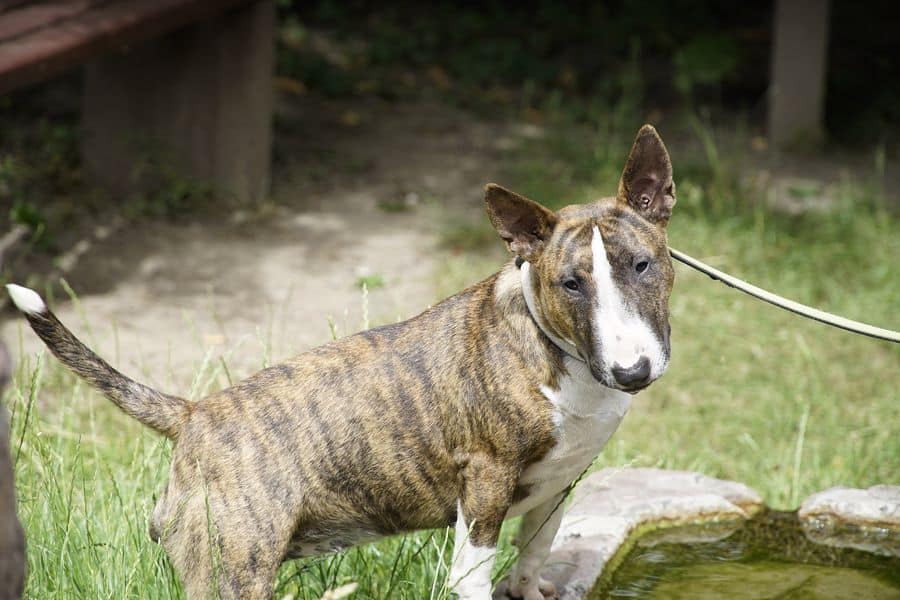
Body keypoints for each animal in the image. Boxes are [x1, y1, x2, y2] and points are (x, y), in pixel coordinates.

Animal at [10, 124, 680, 596]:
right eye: (571, 283)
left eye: (642, 265)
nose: (634, 372)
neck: (553, 352)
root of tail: (194, 414)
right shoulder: (485, 487)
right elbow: (472, 577)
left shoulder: (558, 482)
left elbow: (535, 551)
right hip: (234, 569)